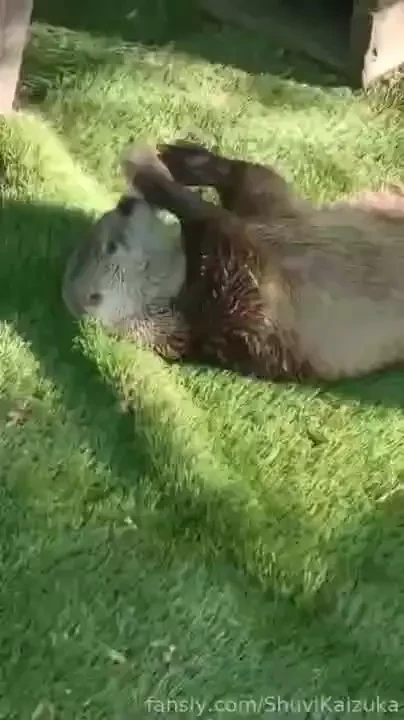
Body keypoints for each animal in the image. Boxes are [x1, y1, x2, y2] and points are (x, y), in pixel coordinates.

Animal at [62, 140, 404, 382]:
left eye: (108, 219)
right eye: (111, 244)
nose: (125, 204)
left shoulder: (275, 217)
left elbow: (259, 186)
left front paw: (176, 160)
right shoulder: (243, 297)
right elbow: (217, 221)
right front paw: (147, 169)